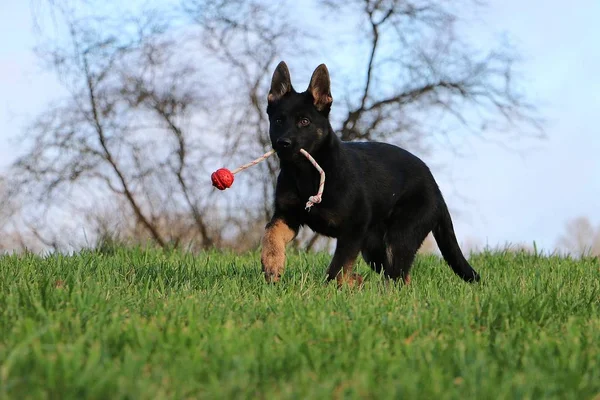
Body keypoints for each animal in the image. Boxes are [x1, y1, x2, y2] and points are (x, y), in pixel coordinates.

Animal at [260, 61, 480, 286]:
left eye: (304, 121)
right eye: (278, 121)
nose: (283, 143)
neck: (306, 173)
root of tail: (436, 188)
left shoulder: (353, 229)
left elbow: (337, 268)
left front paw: (334, 287)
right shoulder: (288, 215)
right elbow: (270, 232)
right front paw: (272, 264)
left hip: (399, 238)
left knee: (396, 276)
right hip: (373, 247)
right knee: (399, 276)